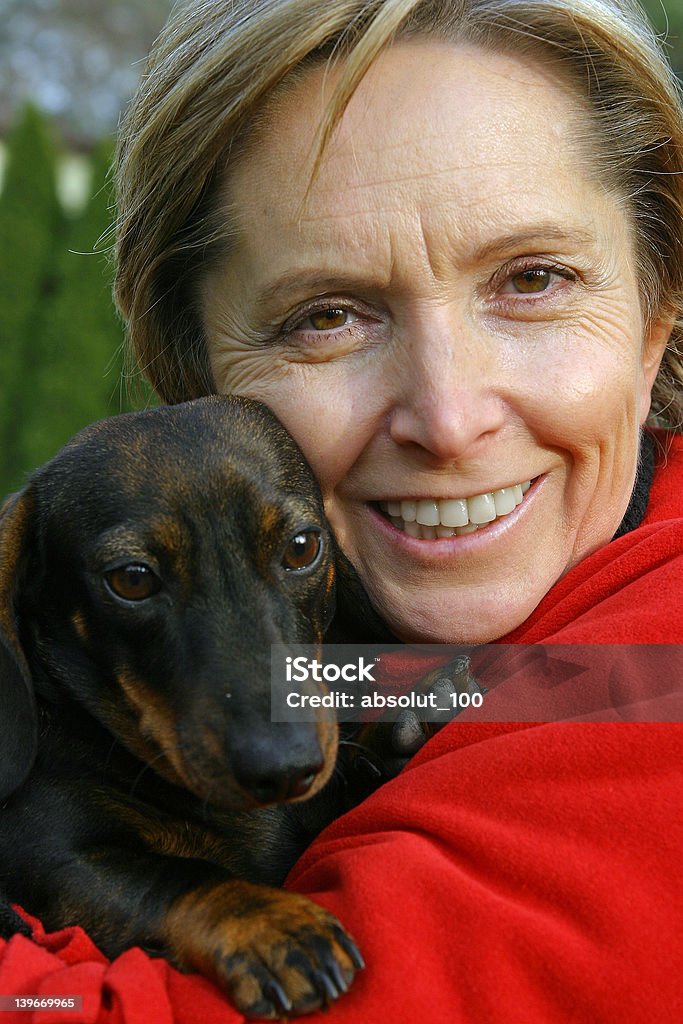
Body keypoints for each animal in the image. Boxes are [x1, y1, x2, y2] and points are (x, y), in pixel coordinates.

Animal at [0, 395, 471, 1019]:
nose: (284, 768)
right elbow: (177, 877)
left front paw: (407, 726)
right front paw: (274, 926)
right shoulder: (46, 850)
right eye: (131, 580)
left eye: (302, 546)